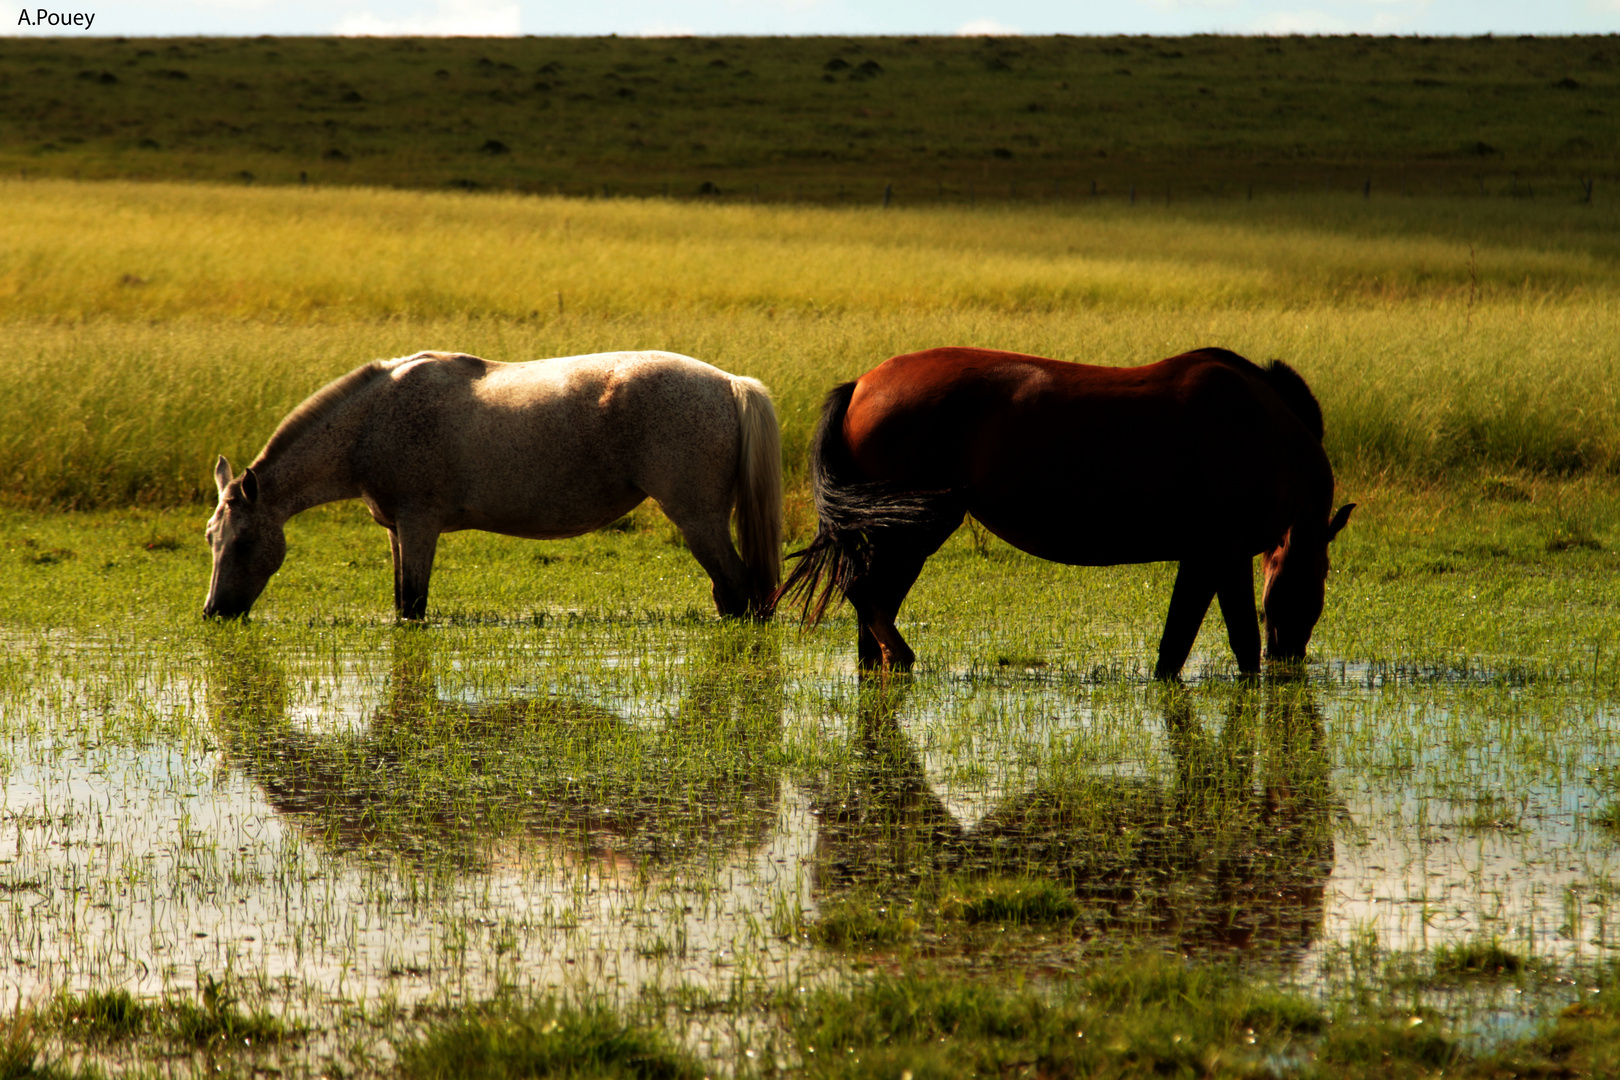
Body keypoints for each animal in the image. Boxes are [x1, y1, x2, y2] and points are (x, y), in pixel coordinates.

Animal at [202, 351, 784, 621]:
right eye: (211, 538)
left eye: (245, 542)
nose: (213, 612)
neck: (373, 421)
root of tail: (730, 383)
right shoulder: (397, 530)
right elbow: (401, 601)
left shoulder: (419, 525)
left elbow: (413, 605)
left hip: (697, 520)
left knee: (740, 590)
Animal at [777, 351, 1347, 680]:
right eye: (1317, 580)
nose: (1290, 659)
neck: (1268, 430)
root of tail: (861, 384)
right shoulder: (1216, 555)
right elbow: (1208, 644)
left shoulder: (1215, 559)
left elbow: (1203, 647)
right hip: (911, 528)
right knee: (864, 593)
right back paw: (903, 656)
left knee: (868, 613)